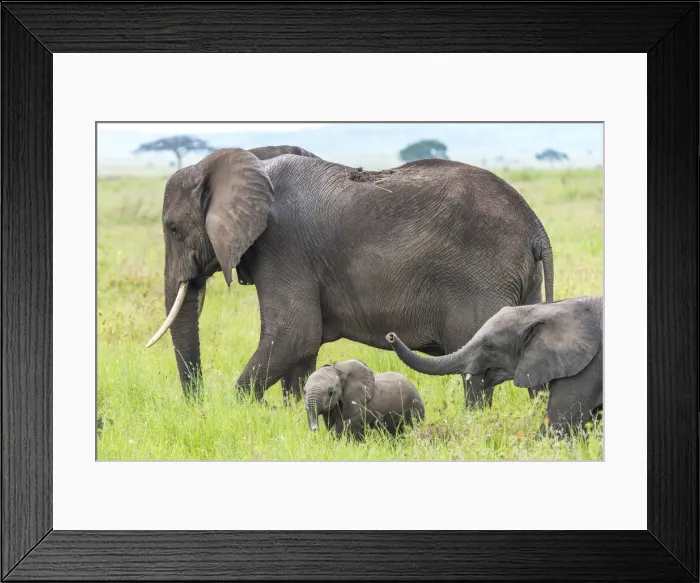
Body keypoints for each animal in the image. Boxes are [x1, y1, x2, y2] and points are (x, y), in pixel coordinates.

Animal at [145, 146, 554, 404]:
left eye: (173, 228)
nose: (198, 405)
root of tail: (536, 227)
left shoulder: (282, 245)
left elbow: (294, 333)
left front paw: (240, 409)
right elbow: (303, 347)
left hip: (484, 276)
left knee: (478, 371)